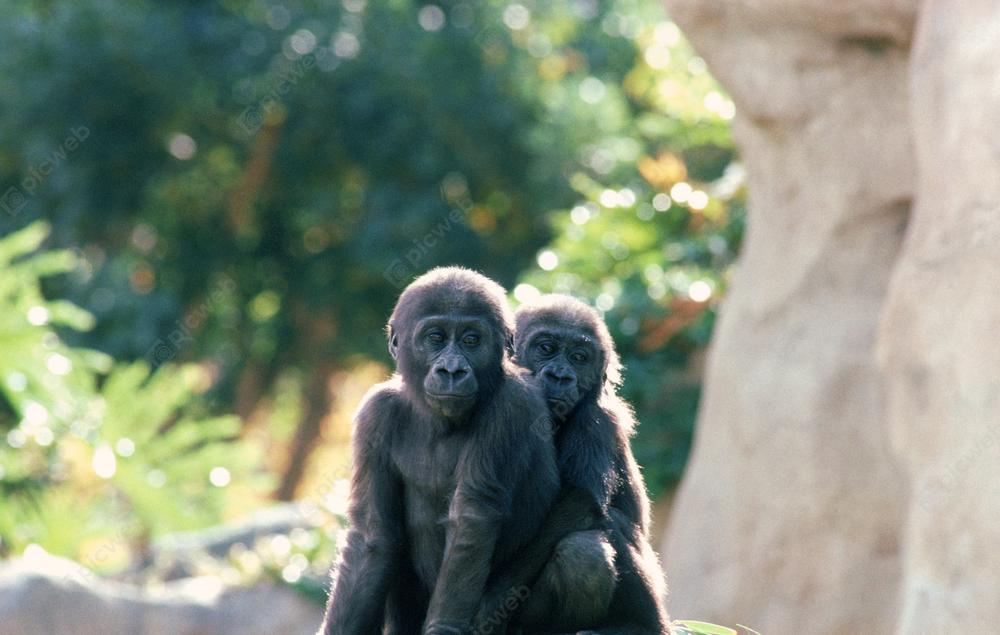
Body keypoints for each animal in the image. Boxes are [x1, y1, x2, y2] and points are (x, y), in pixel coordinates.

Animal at [316, 270, 584, 635]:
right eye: (436, 338)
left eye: (471, 340)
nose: (452, 371)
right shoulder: (376, 414)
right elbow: (373, 535)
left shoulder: (511, 405)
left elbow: (472, 519)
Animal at [474, 294, 676, 635]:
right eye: (546, 348)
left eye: (579, 357)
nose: (561, 376)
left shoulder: (596, 420)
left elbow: (578, 504)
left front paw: (488, 604)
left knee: (589, 545)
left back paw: (640, 625)